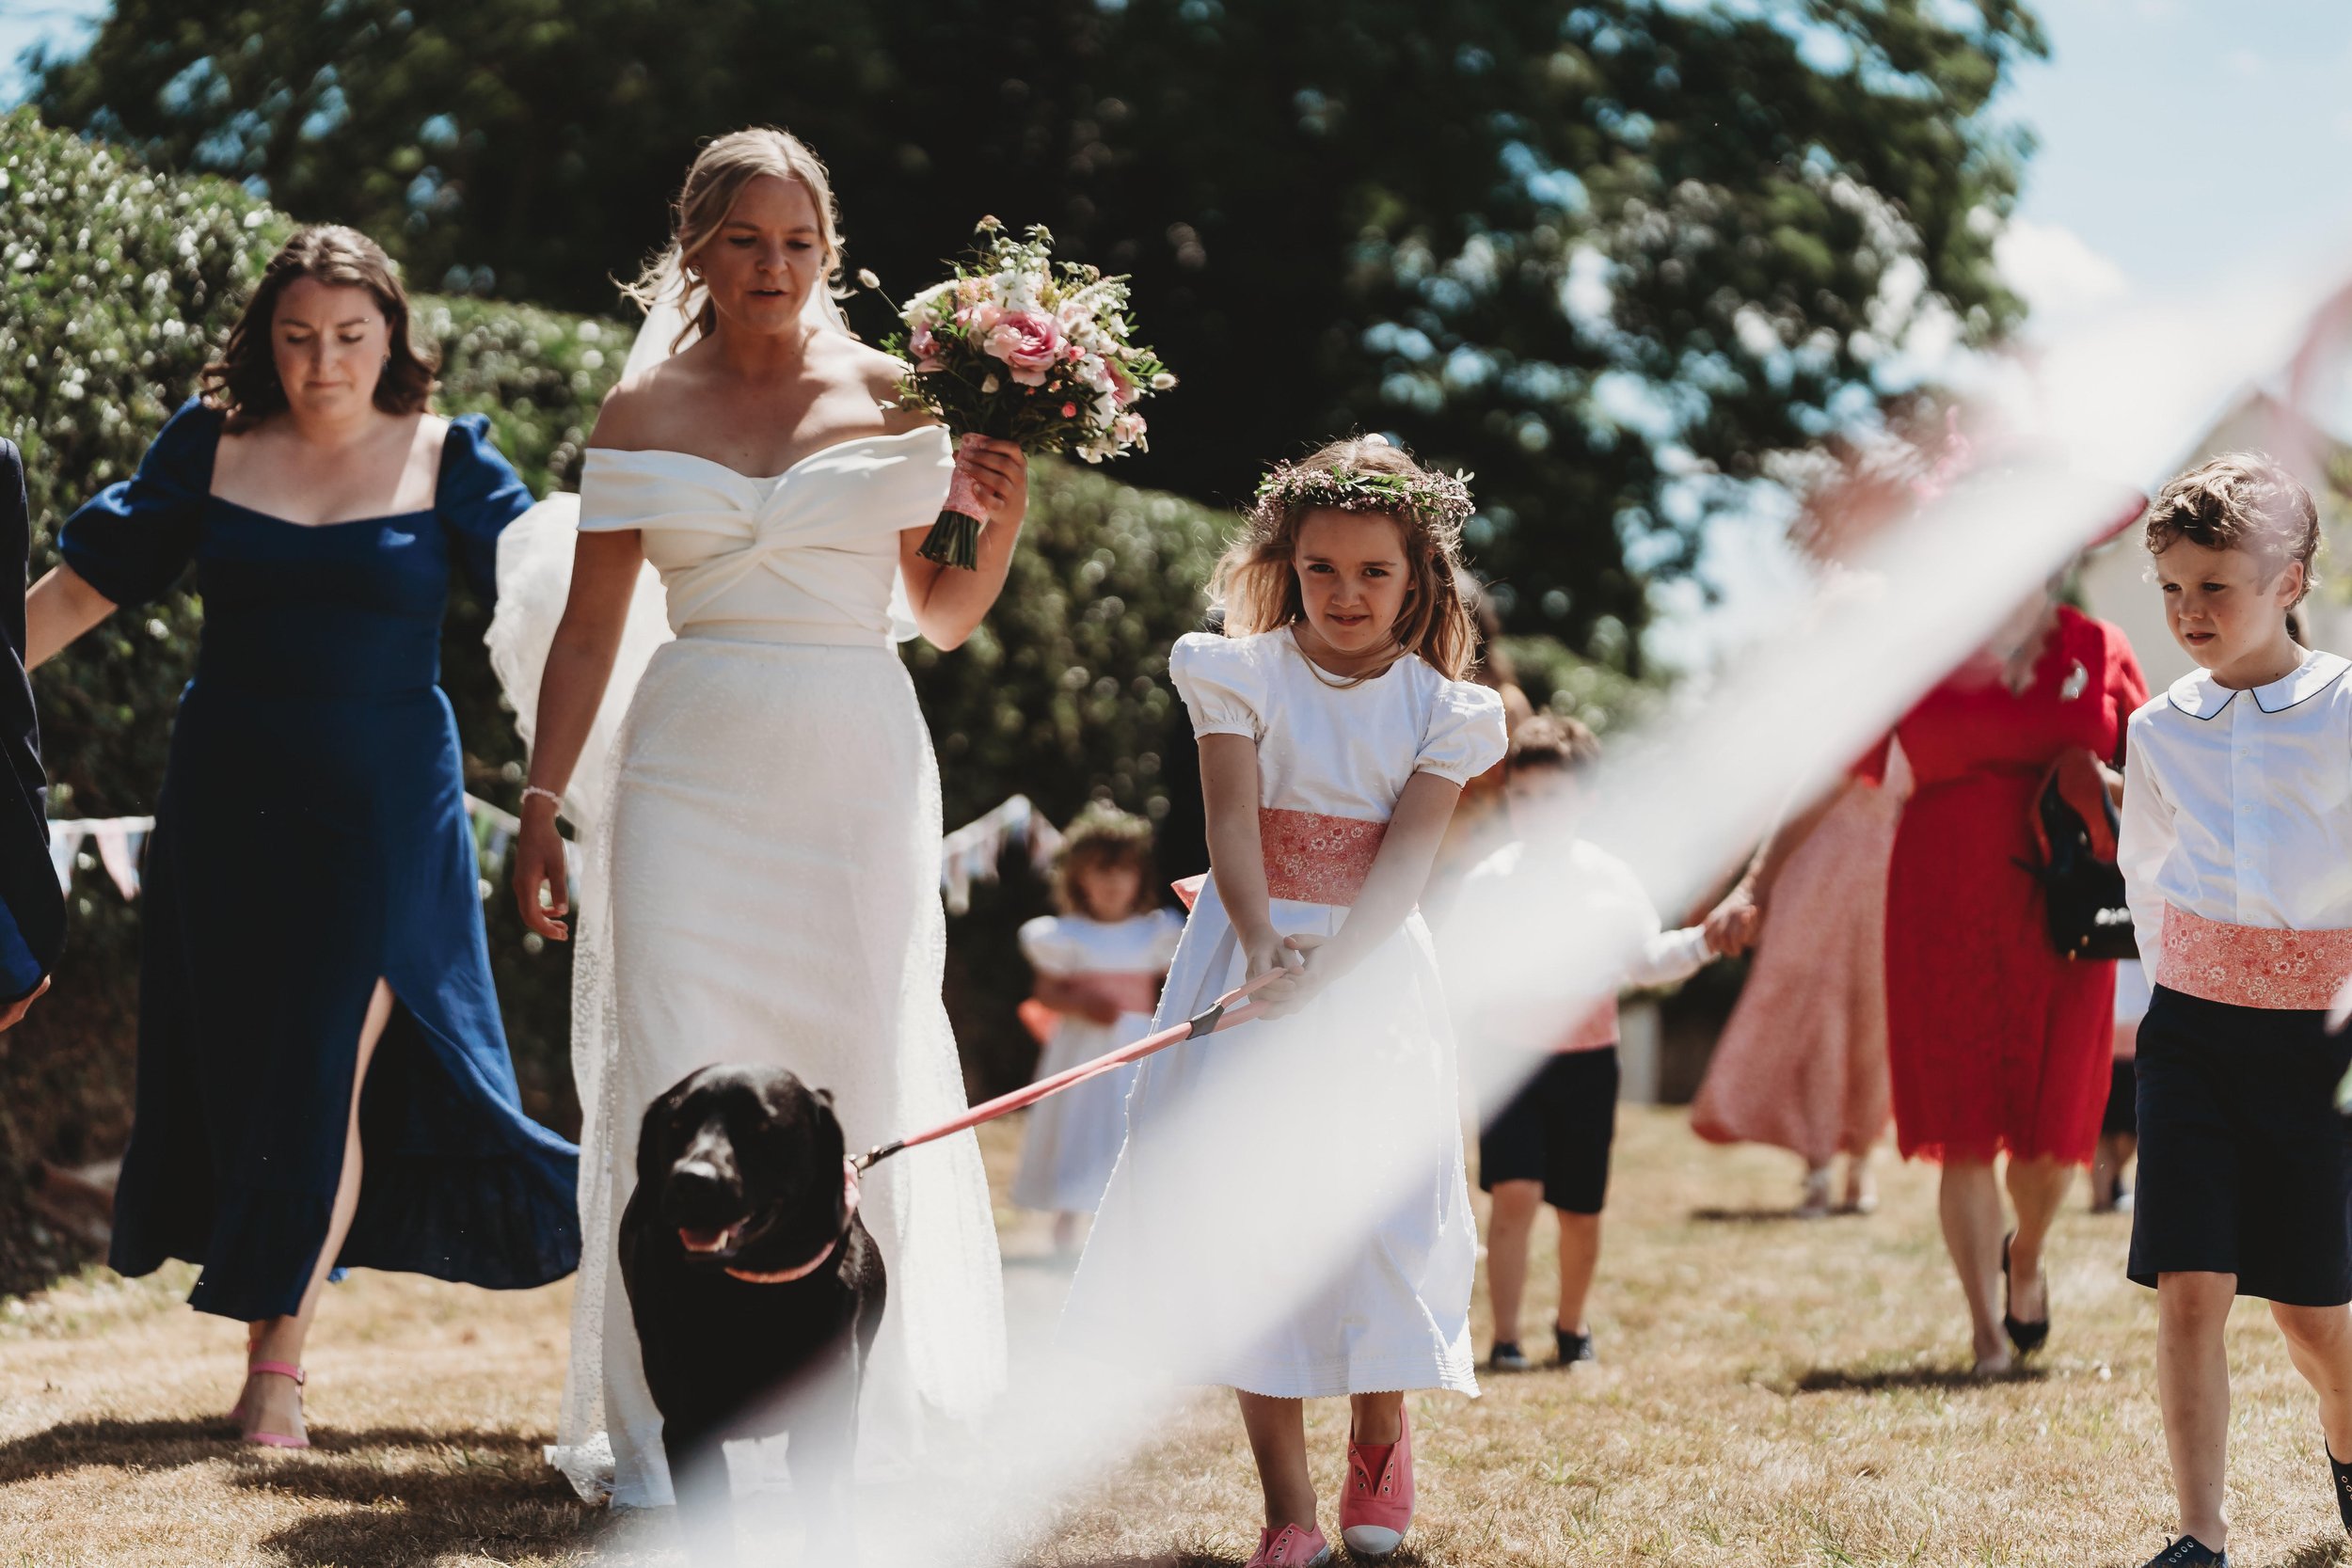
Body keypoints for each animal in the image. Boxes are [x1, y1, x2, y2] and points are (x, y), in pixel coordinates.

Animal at [621, 1062, 884, 1560]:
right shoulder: (688, 1432)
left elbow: (828, 1518)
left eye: (761, 1127)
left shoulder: (822, 1419)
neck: (751, 1295)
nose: (692, 1180)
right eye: (676, 1123)